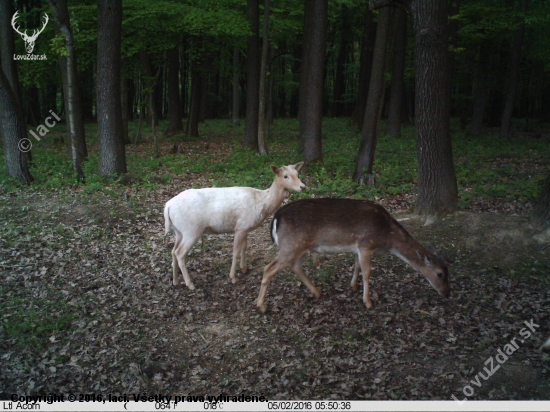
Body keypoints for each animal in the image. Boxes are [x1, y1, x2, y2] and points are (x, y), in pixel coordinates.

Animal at [166, 162, 308, 290]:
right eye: (285, 176)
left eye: (298, 173)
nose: (303, 187)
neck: (262, 202)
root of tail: (168, 206)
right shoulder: (240, 227)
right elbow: (235, 251)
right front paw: (233, 277)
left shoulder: (245, 227)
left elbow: (244, 247)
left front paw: (244, 268)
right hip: (191, 230)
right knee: (180, 253)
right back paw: (190, 284)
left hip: (179, 231)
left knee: (173, 250)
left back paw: (175, 281)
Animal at [258, 199, 452, 312]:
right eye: (440, 274)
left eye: (447, 271)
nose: (447, 293)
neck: (386, 238)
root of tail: (275, 218)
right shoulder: (366, 244)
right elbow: (367, 272)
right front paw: (368, 302)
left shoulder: (358, 247)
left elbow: (357, 265)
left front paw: (353, 286)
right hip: (291, 246)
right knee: (268, 268)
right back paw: (261, 305)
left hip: (299, 247)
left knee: (295, 266)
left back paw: (317, 292)